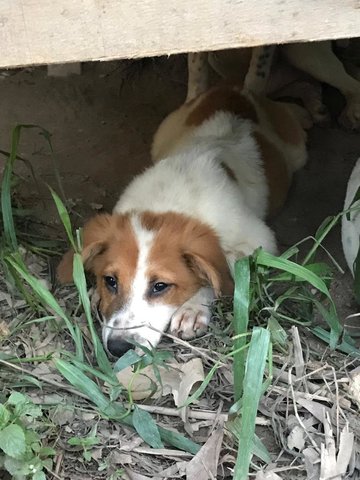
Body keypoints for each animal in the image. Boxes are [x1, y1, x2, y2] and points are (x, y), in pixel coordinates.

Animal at [57, 59, 308, 356]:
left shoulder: (260, 242)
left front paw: (193, 308)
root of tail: (237, 90)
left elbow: (221, 269)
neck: (170, 203)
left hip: (297, 147)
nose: (119, 348)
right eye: (110, 281)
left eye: (160, 286)